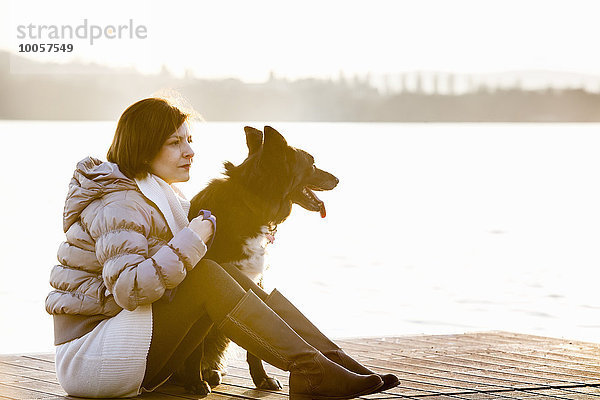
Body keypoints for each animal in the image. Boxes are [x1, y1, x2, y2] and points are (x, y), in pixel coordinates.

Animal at [176, 125, 340, 394]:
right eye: (312, 164)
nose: (337, 179)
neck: (250, 204)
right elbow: (194, 348)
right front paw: (193, 382)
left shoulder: (255, 283)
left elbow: (254, 345)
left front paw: (261, 378)